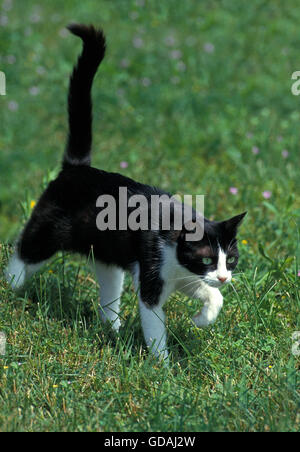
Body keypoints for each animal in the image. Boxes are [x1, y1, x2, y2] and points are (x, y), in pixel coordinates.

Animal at [5, 24, 246, 364]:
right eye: (209, 258)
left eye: (232, 260)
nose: (225, 277)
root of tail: (77, 167)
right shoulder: (152, 275)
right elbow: (154, 324)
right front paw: (162, 365)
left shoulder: (185, 274)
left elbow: (211, 294)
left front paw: (203, 317)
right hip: (50, 232)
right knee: (24, 250)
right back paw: (12, 285)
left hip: (107, 253)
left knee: (108, 287)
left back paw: (112, 328)